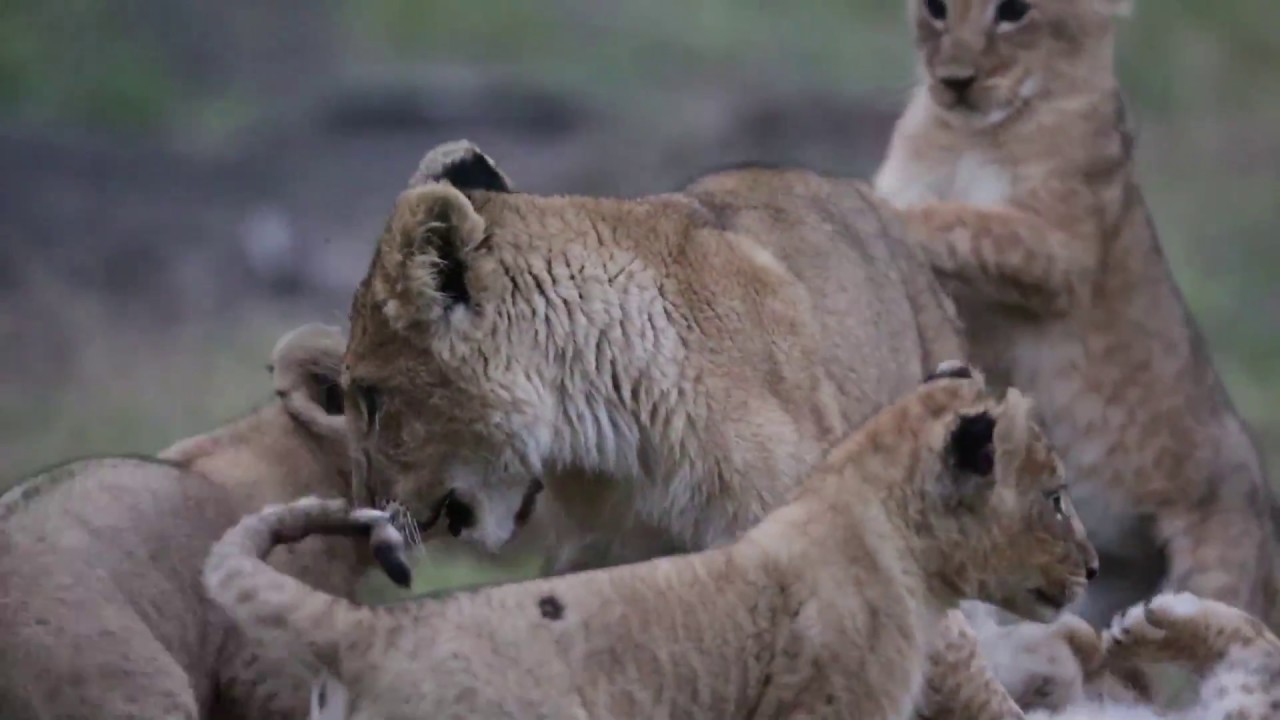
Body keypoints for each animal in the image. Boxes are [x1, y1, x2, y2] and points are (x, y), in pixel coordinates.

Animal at [872, 0, 1278, 627]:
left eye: (1014, 12)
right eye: (936, 10)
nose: (955, 81)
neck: (966, 135)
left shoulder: (1058, 249)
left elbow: (963, 219)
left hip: (1217, 569)